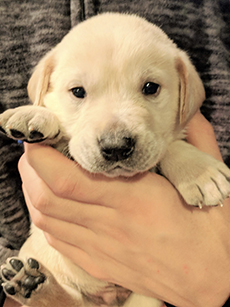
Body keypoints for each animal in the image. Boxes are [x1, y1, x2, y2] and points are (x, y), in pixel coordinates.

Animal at [0, 12, 230, 307]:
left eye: (150, 87)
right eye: (77, 91)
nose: (116, 147)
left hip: (145, 298)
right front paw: (34, 115)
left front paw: (201, 173)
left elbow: (170, 145)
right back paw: (34, 285)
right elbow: (58, 133)